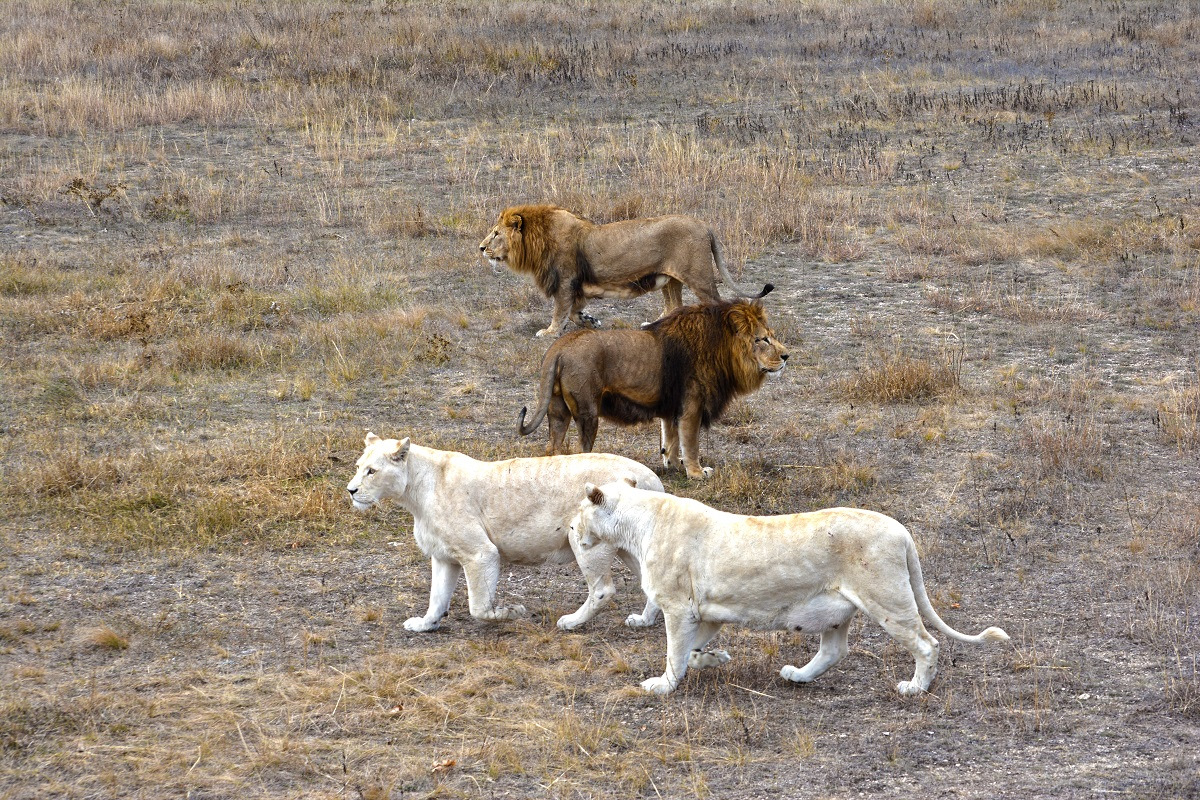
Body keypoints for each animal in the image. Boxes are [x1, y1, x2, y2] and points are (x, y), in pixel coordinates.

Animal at [348, 434, 667, 633]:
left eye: (372, 471)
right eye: (358, 467)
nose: (350, 490)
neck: (414, 494)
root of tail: (652, 478)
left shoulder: (480, 553)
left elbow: (478, 606)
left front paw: (511, 612)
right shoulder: (443, 556)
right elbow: (436, 598)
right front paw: (425, 624)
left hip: (584, 538)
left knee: (603, 590)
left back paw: (571, 622)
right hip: (629, 546)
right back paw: (643, 620)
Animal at [477, 203, 768, 338]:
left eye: (495, 234)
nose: (480, 248)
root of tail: (704, 224)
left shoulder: (565, 282)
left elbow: (560, 312)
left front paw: (549, 332)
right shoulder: (573, 286)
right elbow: (573, 312)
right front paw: (590, 321)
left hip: (698, 277)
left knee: (717, 303)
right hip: (669, 279)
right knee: (673, 304)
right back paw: (654, 325)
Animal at [516, 297, 787, 479]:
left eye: (771, 335)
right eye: (762, 339)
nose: (786, 356)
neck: (720, 349)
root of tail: (559, 346)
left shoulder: (672, 409)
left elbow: (672, 440)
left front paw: (674, 465)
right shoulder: (692, 406)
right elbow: (691, 443)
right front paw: (697, 473)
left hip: (557, 410)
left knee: (552, 448)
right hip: (587, 412)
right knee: (582, 450)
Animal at [571, 479, 1012, 695]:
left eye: (578, 513)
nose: (571, 529)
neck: (635, 525)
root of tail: (902, 531)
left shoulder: (678, 608)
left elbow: (673, 654)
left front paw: (661, 686)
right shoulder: (705, 612)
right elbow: (692, 652)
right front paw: (715, 659)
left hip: (888, 600)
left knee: (927, 643)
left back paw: (915, 688)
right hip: (838, 612)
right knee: (835, 651)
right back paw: (796, 676)